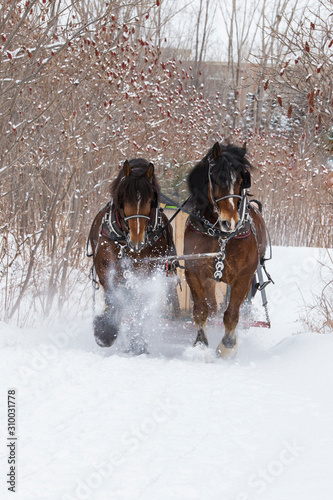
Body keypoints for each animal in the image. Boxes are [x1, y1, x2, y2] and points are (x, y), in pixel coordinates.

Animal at [87, 159, 176, 352]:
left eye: (150, 200)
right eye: (123, 198)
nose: (137, 241)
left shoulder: (149, 271)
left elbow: (139, 305)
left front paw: (138, 342)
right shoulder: (105, 266)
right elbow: (113, 297)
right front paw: (105, 333)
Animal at [183, 143, 266, 358]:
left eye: (242, 180)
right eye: (215, 177)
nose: (231, 222)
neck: (221, 236)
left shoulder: (243, 278)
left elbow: (232, 314)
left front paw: (227, 345)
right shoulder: (194, 272)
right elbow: (201, 310)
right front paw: (201, 344)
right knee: (212, 306)